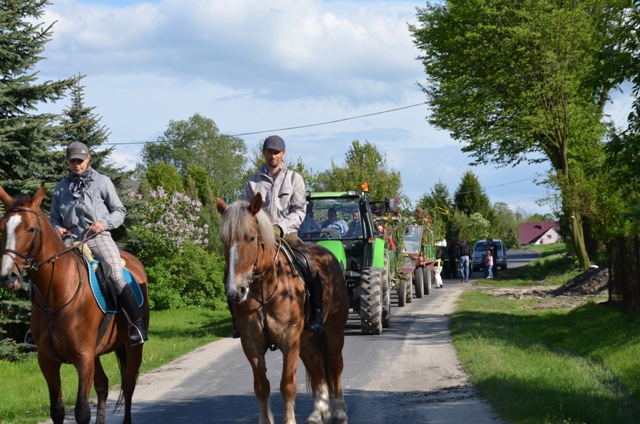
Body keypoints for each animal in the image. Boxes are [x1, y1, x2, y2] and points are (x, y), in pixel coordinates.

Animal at [0, 185, 149, 424]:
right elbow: (57, 410)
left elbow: (82, 411)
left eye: (31, 229)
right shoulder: (48, 361)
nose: (8, 277)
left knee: (128, 386)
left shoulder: (83, 358)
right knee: (103, 386)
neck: (56, 294)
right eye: (2, 228)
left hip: (133, 346)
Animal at [216, 195, 348, 424]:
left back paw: (339, 412)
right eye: (225, 241)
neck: (265, 290)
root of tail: (329, 255)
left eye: (251, 238)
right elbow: (261, 387)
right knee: (316, 365)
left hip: (333, 331)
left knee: (334, 365)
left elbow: (287, 385)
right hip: (305, 341)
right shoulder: (251, 345)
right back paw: (318, 412)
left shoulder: (289, 340)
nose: (235, 291)